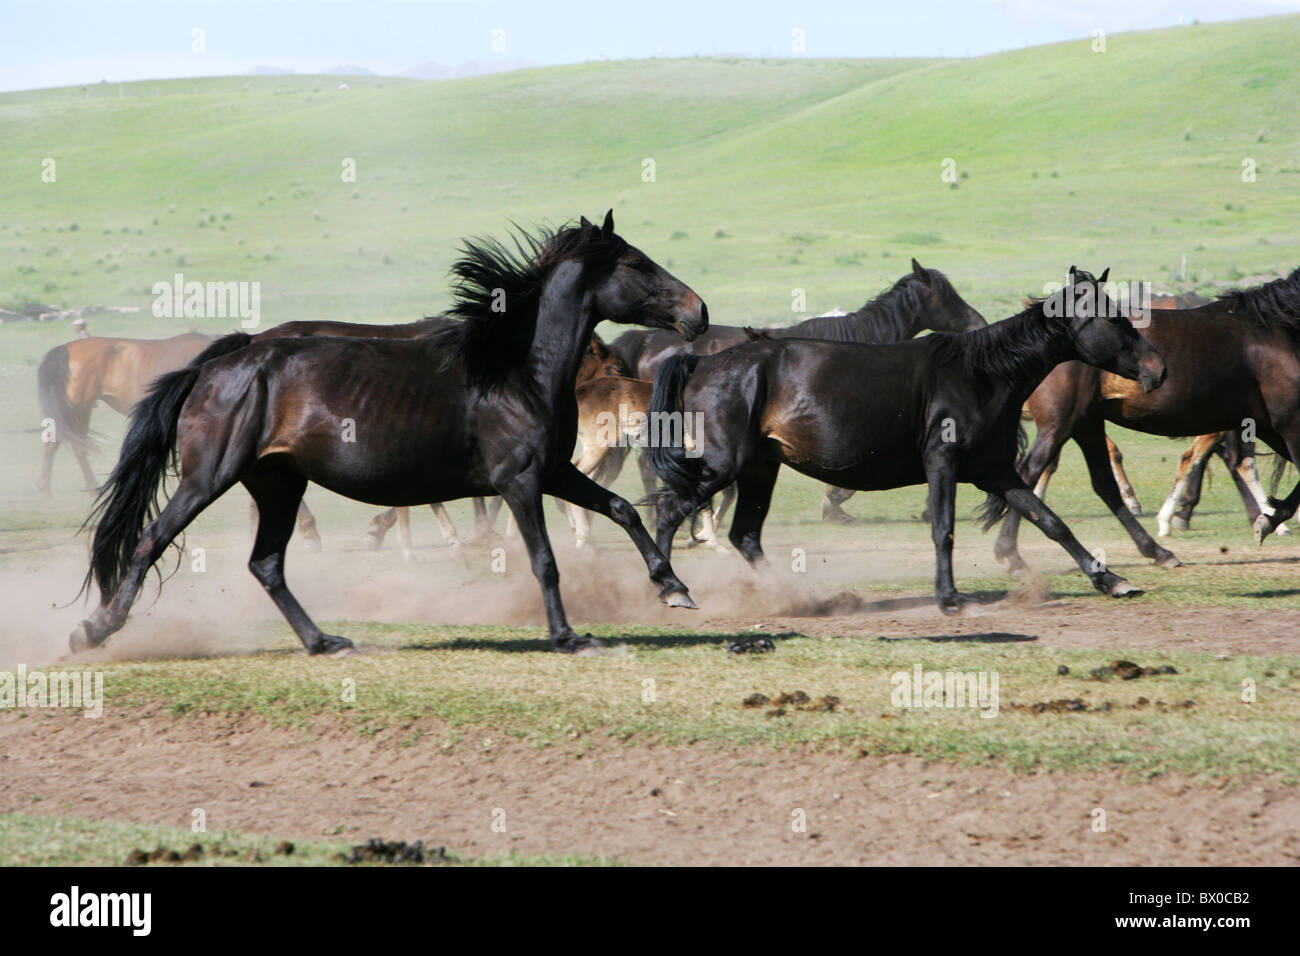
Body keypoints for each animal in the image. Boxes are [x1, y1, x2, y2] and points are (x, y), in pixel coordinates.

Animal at [74, 212, 712, 655]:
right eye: (635, 263)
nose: (699, 312)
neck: (516, 369)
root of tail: (220, 362)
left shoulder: (554, 471)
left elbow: (620, 509)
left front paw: (673, 587)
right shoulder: (520, 480)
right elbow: (544, 559)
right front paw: (568, 636)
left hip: (278, 482)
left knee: (267, 564)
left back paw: (324, 642)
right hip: (209, 476)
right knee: (153, 539)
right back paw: (95, 628)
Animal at [650, 269, 1170, 613]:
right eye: (1116, 321)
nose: (1159, 369)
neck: (982, 374)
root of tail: (701, 362)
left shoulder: (996, 473)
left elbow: (1052, 522)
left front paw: (1112, 579)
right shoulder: (943, 464)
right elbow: (943, 529)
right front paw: (950, 596)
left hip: (761, 467)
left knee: (745, 535)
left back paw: (797, 598)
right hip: (723, 464)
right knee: (670, 511)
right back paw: (671, 587)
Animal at [998, 265, 1300, 572]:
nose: (1158, 370)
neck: (1275, 329)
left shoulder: (1269, 428)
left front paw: (1267, 518)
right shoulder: (1286, 424)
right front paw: (1266, 520)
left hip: (1085, 424)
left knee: (1103, 484)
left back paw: (1156, 549)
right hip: (1060, 424)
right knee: (1030, 470)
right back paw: (1011, 552)